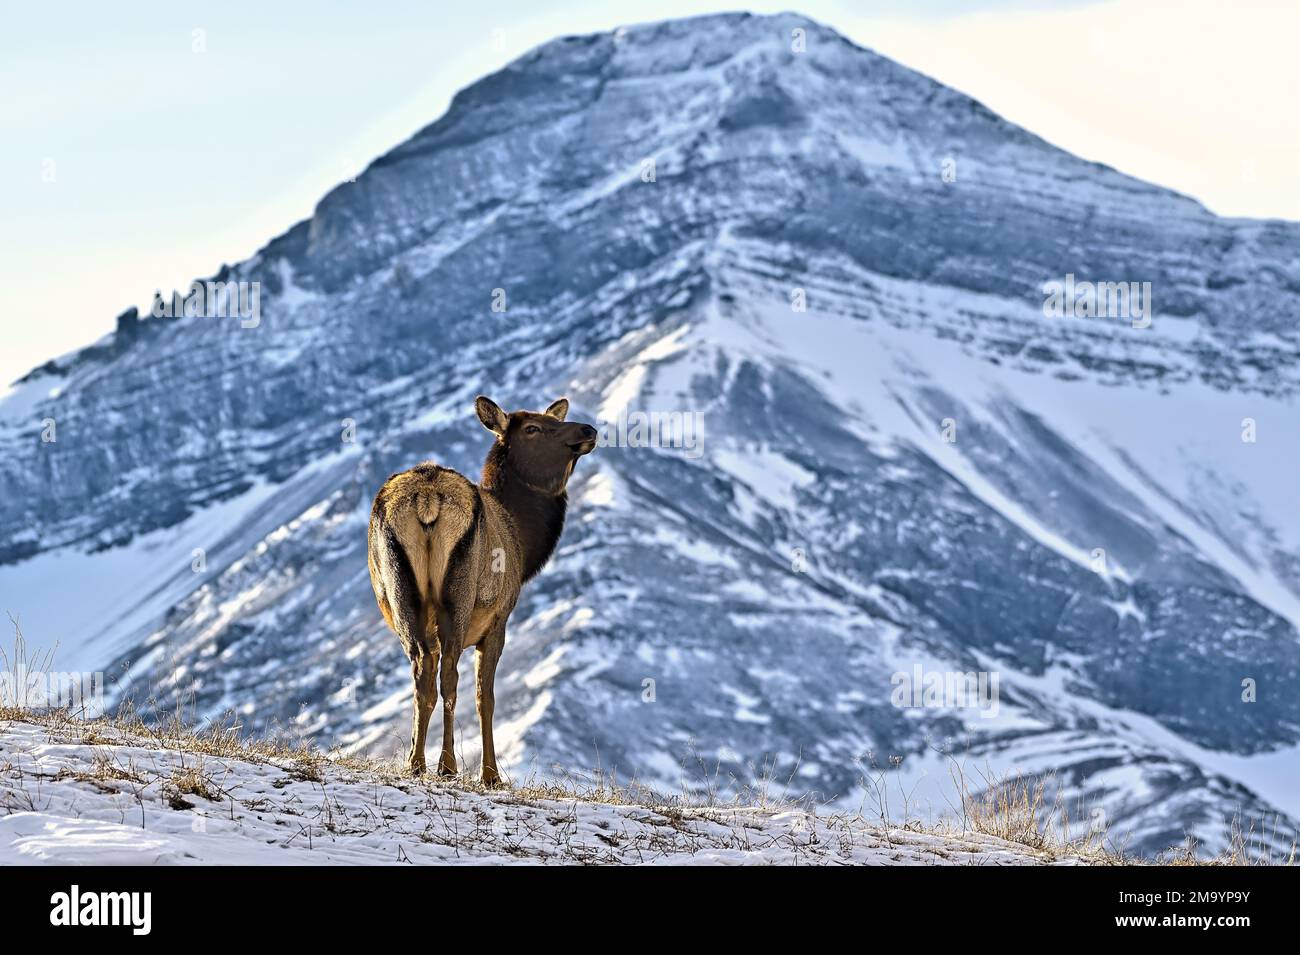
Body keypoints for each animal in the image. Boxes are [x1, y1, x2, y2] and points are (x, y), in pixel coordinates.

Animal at [367, 396, 598, 783]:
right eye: (533, 428)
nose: (588, 429)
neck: (524, 539)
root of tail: (427, 498)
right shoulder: (498, 619)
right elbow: (485, 697)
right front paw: (491, 774)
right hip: (459, 596)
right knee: (449, 676)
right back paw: (447, 765)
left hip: (401, 593)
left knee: (420, 671)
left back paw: (415, 762)